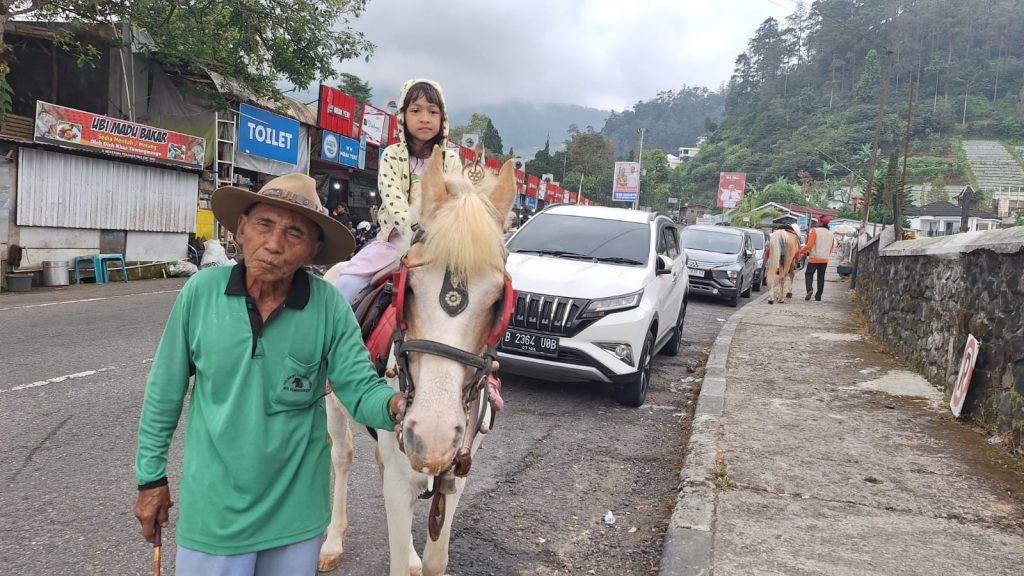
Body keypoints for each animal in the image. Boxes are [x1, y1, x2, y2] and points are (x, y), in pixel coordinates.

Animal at [319, 147, 516, 573]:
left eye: (498, 302)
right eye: (406, 287)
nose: (431, 436)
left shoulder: (456, 475)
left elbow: (435, 560)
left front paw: (416, 556)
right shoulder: (400, 476)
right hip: (334, 407)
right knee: (341, 457)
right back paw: (332, 540)